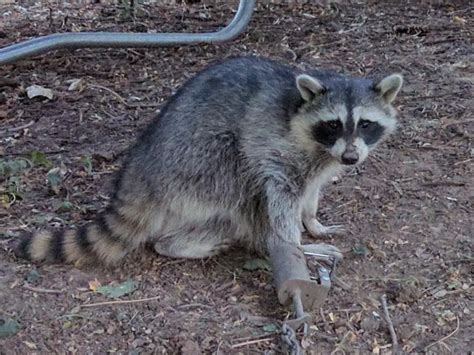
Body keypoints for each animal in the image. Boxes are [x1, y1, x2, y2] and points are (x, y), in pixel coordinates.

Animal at [16, 56, 404, 268]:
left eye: (366, 124)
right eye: (334, 123)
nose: (351, 158)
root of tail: (140, 169)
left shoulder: (321, 160)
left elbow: (311, 192)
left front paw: (313, 221)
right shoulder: (275, 146)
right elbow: (281, 197)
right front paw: (294, 243)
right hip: (197, 162)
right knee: (239, 182)